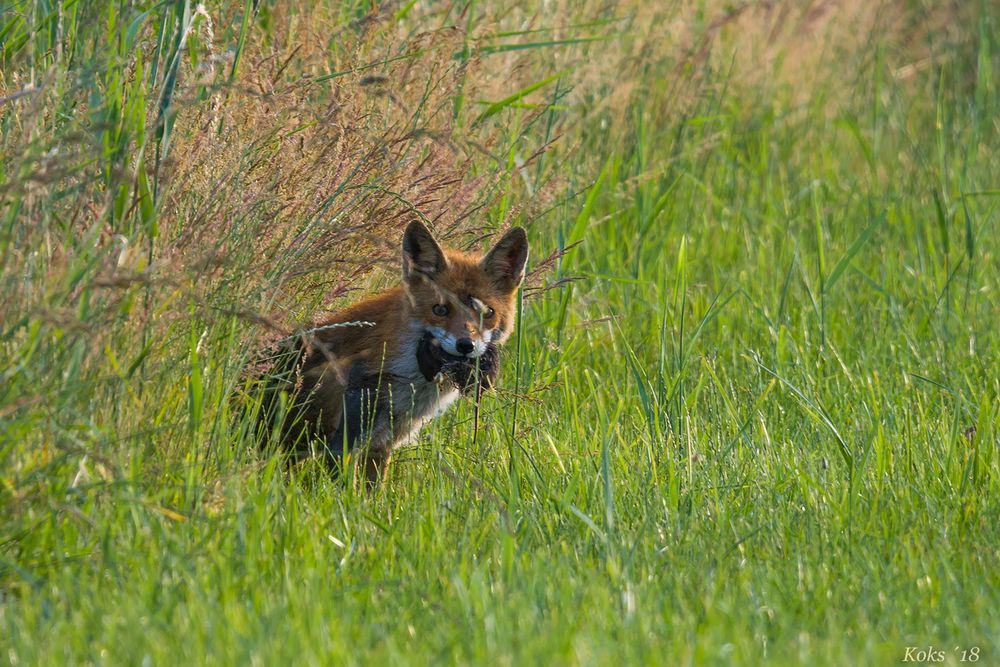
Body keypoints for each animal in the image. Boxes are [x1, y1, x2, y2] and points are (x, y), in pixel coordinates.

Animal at [266, 222, 532, 488]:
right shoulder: (345, 440)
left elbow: (375, 492)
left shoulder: (382, 444)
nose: (466, 345)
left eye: (487, 313)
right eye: (440, 309)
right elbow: (344, 489)